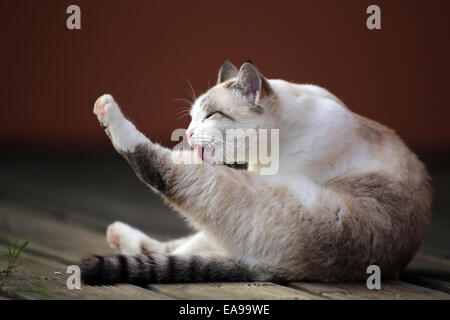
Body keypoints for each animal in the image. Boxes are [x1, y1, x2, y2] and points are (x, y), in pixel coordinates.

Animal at [81, 60, 432, 284]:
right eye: (192, 117)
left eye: (210, 115)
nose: (189, 134)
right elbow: (185, 247)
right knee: (176, 247)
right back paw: (118, 233)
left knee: (165, 178)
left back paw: (106, 110)